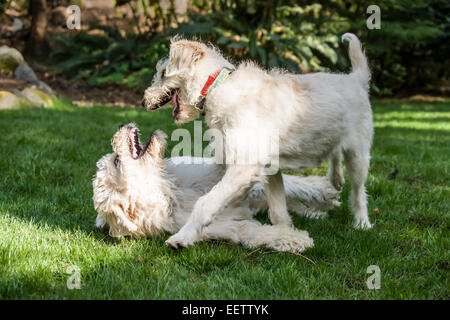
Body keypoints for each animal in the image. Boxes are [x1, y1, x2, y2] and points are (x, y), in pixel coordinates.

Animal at [93, 124, 340, 252]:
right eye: (117, 161)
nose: (121, 125)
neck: (168, 195)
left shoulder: (221, 174)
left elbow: (294, 184)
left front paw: (324, 190)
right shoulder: (234, 227)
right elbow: (261, 232)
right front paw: (295, 239)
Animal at [142, 32, 370, 249]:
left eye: (163, 73)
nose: (143, 101)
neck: (217, 87)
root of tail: (355, 78)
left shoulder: (244, 167)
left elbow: (206, 202)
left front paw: (182, 237)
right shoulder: (270, 168)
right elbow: (277, 210)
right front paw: (284, 233)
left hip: (358, 154)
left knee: (358, 191)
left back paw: (362, 223)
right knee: (334, 152)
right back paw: (336, 179)